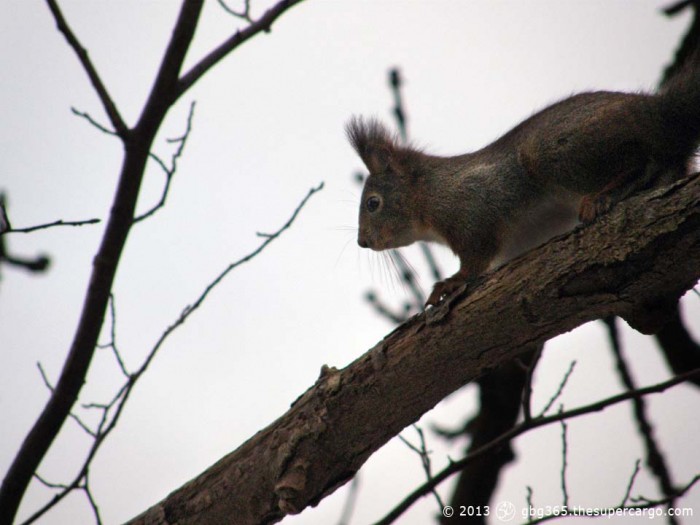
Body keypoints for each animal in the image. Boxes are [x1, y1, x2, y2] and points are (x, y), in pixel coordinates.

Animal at [350, 59, 700, 304]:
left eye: (373, 203)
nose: (362, 242)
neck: (431, 193)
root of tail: (660, 113)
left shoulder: (473, 210)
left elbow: (475, 260)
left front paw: (451, 282)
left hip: (554, 152)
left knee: (639, 161)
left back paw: (603, 195)